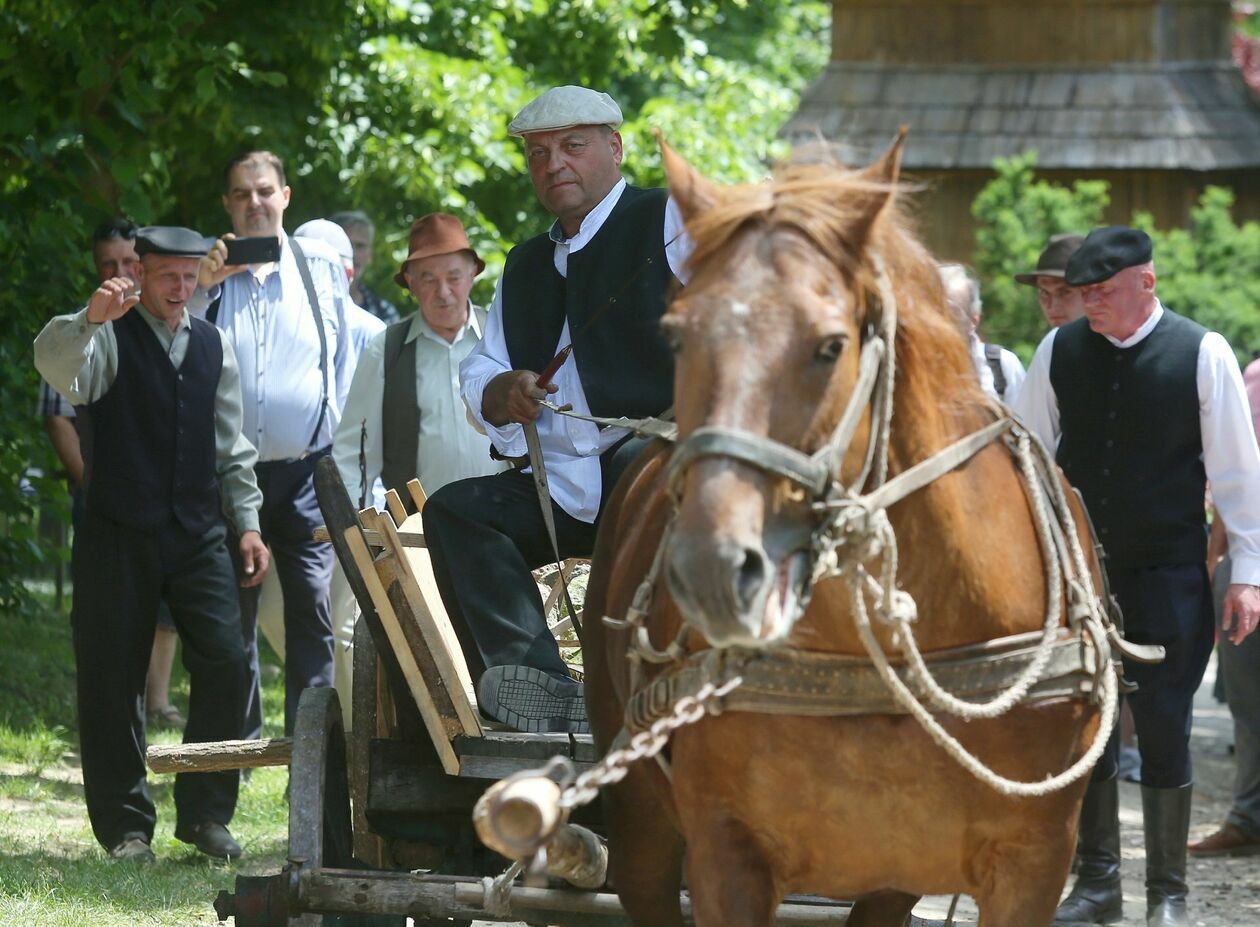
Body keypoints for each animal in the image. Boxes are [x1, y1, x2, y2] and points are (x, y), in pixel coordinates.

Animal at [579, 137, 1103, 927]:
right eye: (675, 336)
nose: (710, 568)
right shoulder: (726, 851)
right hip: (641, 823)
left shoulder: (1033, 862)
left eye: (830, 346)